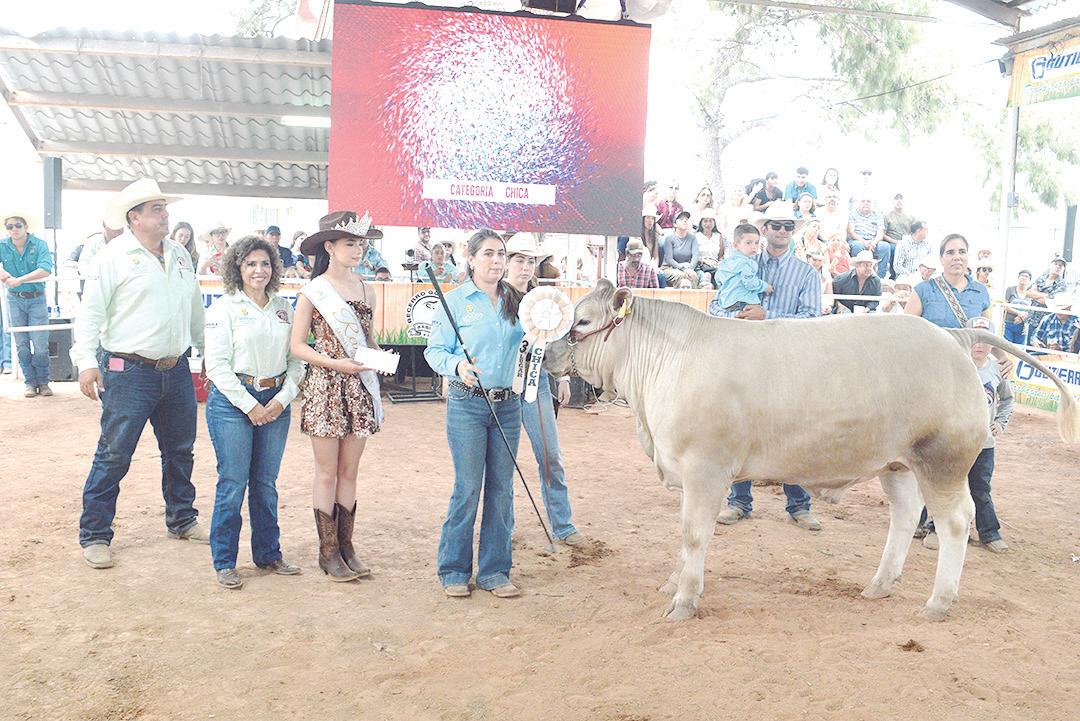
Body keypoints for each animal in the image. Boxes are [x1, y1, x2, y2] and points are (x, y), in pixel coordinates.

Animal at [543, 280, 1079, 621]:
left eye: (582, 321)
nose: (544, 352)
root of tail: (953, 334)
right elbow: (684, 537)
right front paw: (674, 585)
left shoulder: (705, 469)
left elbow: (694, 535)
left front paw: (683, 602)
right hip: (899, 463)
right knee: (905, 517)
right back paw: (879, 585)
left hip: (941, 460)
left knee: (953, 523)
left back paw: (938, 603)